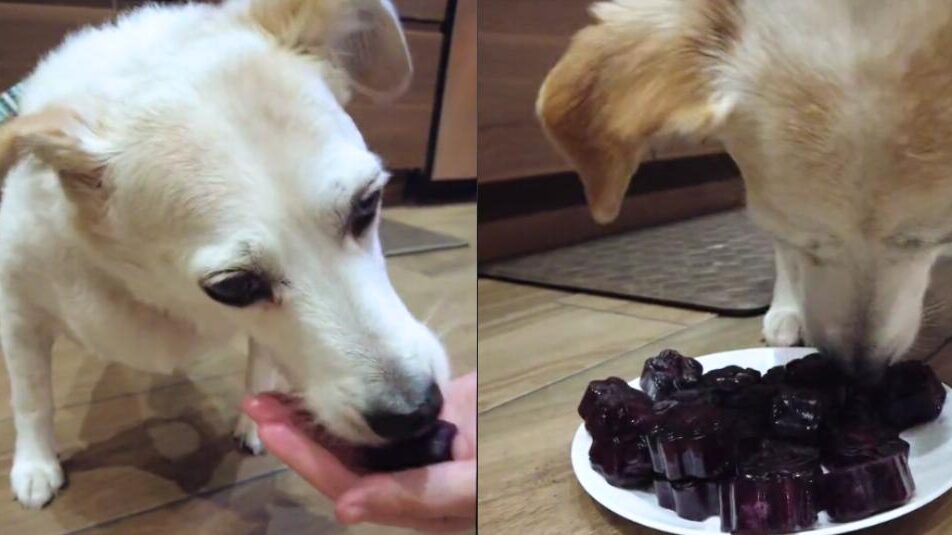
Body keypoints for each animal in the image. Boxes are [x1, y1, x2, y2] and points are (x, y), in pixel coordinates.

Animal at [0, 0, 450, 508]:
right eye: (234, 286)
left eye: (367, 204)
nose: (416, 411)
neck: (155, 294)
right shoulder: (19, 316)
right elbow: (32, 398)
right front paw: (36, 465)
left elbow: (261, 367)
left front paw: (253, 422)